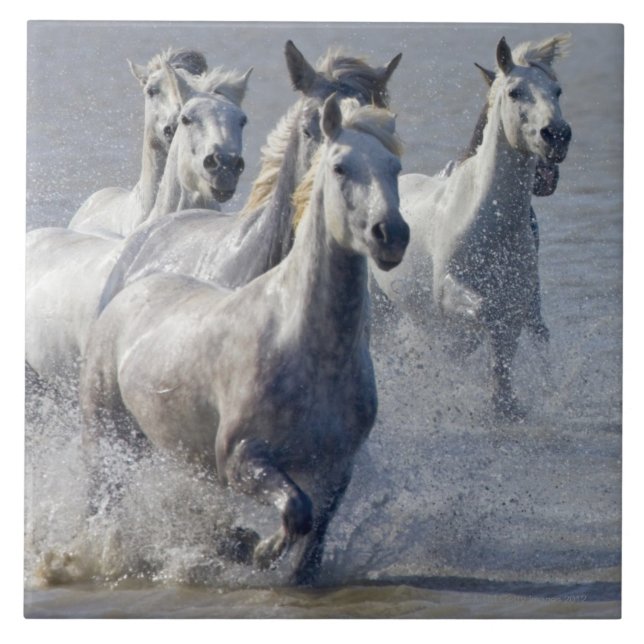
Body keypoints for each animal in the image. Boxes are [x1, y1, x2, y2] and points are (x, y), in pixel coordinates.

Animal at [80, 96, 410, 585]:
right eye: (341, 167)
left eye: (394, 167)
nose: (391, 235)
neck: (311, 350)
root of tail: (129, 288)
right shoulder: (240, 458)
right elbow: (297, 509)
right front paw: (258, 550)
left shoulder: (337, 467)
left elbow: (315, 531)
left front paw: (261, 552)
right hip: (107, 433)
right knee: (100, 498)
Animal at [371, 34, 572, 419]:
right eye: (515, 92)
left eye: (557, 91)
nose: (556, 135)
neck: (488, 220)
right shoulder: (449, 289)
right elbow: (485, 315)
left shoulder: (520, 295)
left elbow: (512, 335)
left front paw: (505, 402)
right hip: (379, 308)